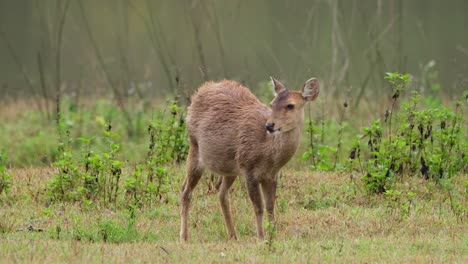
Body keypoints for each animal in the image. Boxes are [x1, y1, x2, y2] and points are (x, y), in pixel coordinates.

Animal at [178, 76, 318, 241]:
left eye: (290, 105)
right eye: (272, 103)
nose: (270, 125)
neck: (267, 153)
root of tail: (200, 90)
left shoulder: (271, 175)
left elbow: (270, 207)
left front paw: (273, 235)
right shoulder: (249, 169)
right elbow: (258, 207)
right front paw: (261, 238)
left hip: (231, 166)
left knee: (221, 194)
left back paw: (233, 235)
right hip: (195, 147)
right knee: (186, 191)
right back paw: (184, 237)